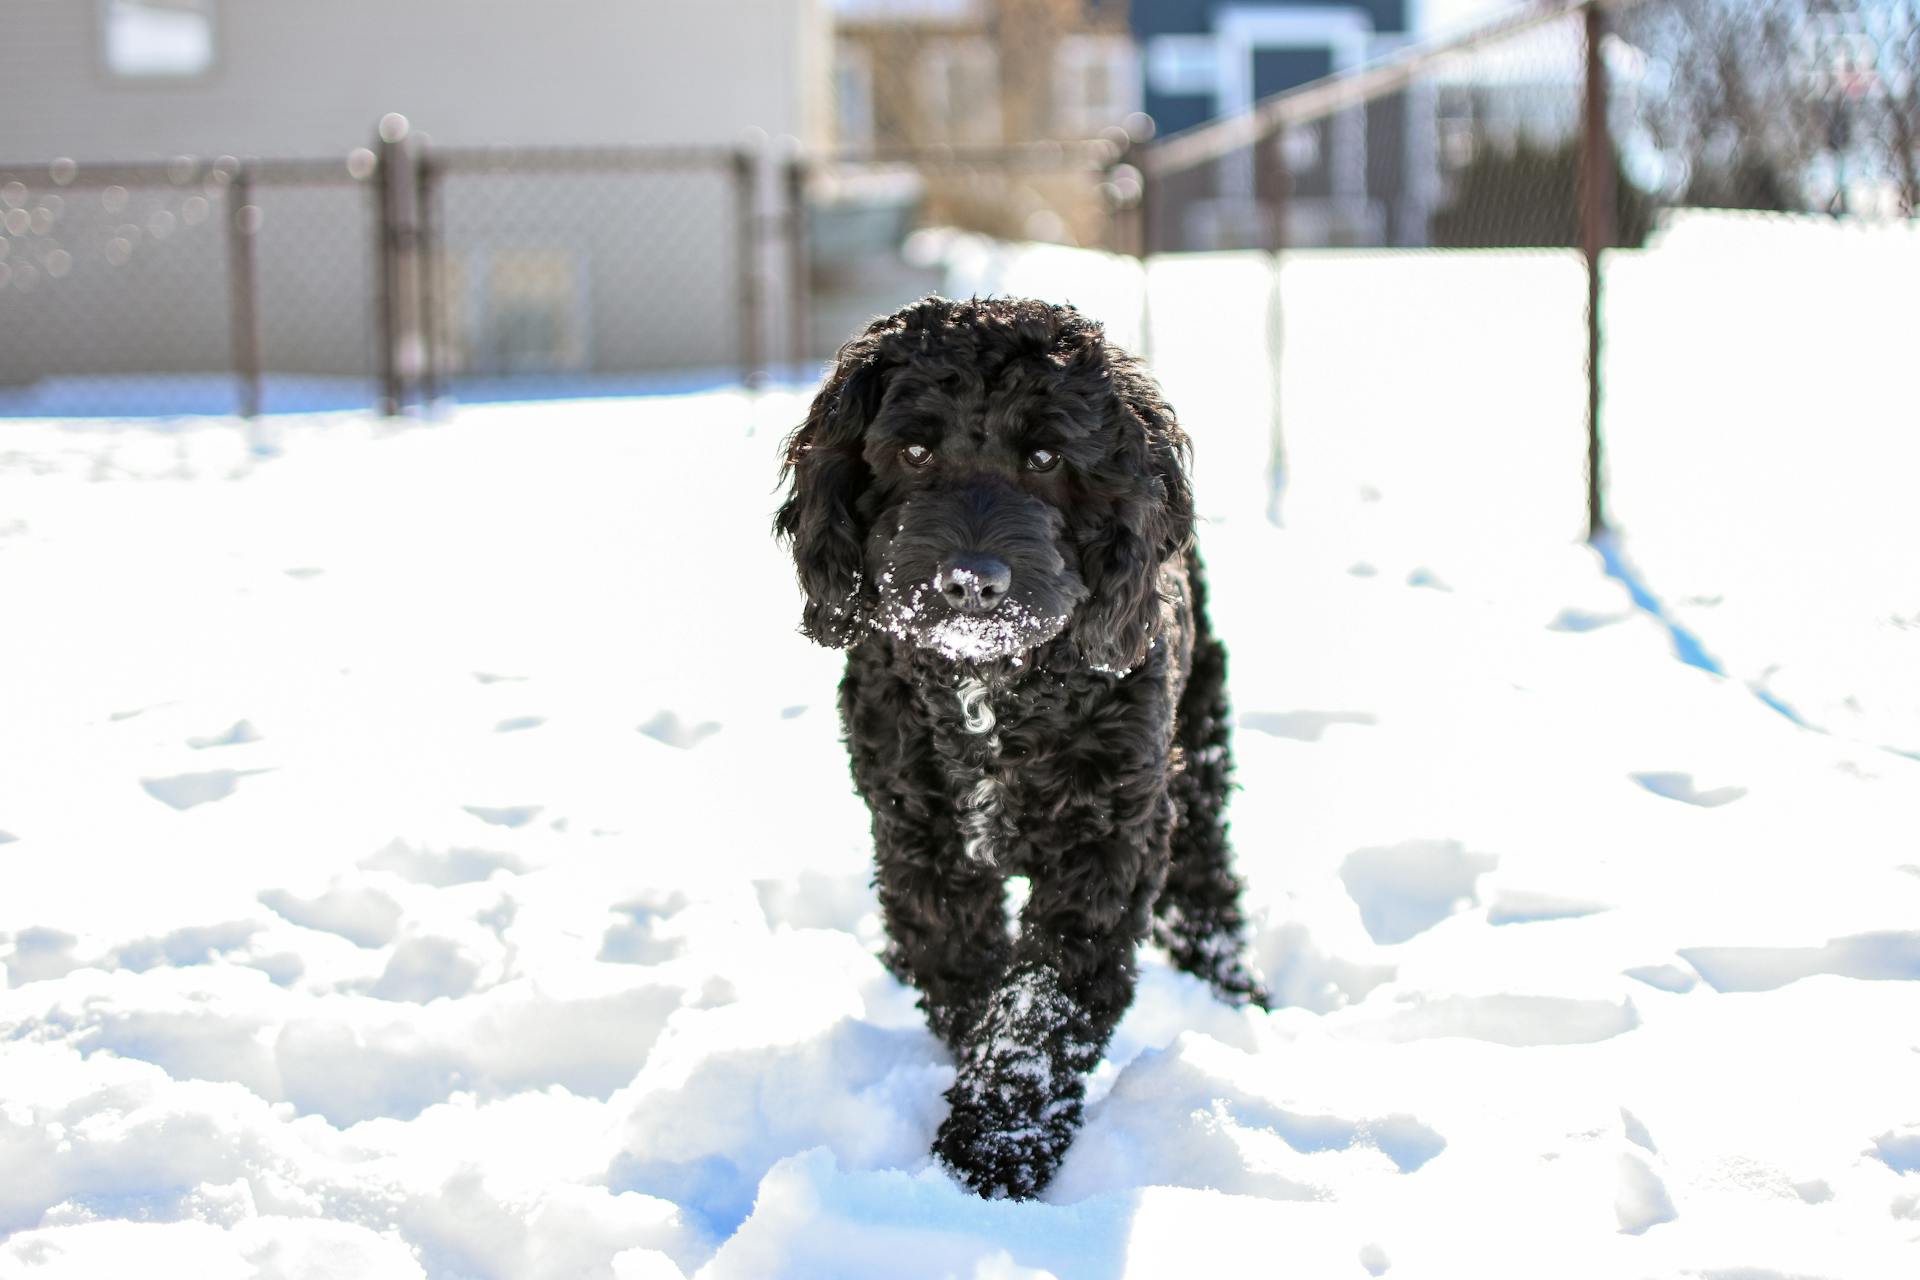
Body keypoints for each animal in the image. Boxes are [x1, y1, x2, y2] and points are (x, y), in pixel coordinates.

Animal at [771, 295, 1267, 1197]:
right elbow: (962, 968)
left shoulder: (1106, 845)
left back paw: (1236, 997)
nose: (972, 581)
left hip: (1198, 747)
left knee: (1207, 882)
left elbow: (1043, 1004)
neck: (991, 693)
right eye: (914, 450)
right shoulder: (920, 839)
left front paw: (992, 1156)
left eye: (1045, 457)